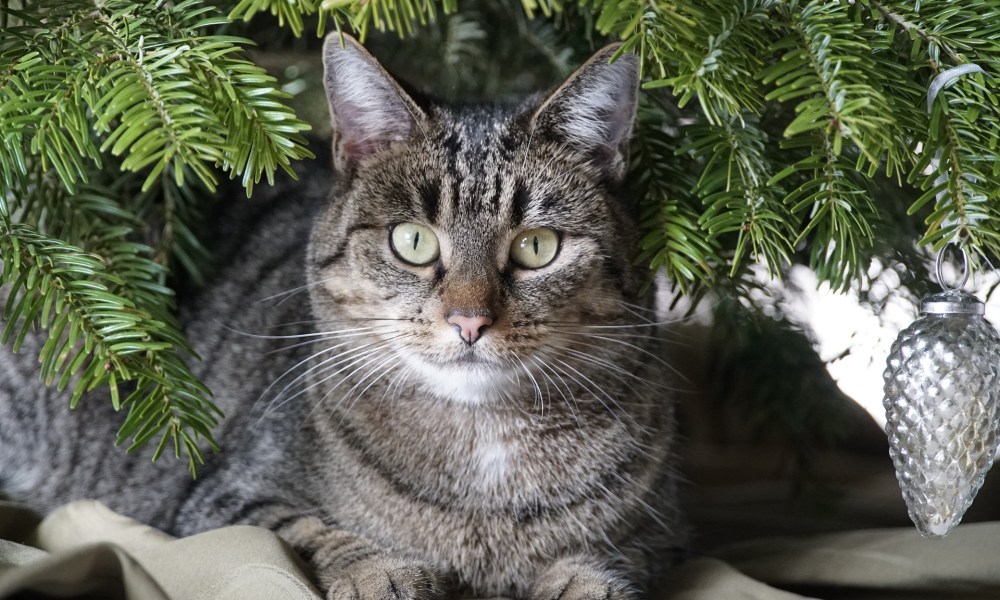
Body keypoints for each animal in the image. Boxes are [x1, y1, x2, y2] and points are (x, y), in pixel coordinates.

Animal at [0, 34, 680, 600]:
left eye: (537, 247)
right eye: (413, 242)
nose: (469, 321)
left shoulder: (655, 533)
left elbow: (605, 563)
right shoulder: (223, 502)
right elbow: (305, 533)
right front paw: (382, 571)